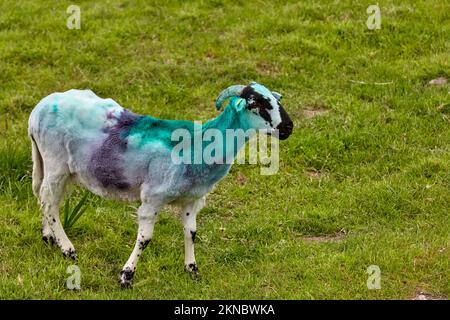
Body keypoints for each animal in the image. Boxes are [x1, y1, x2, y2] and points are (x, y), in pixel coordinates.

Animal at [29, 82, 296, 288]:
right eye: (256, 104)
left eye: (276, 100)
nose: (288, 127)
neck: (198, 144)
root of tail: (38, 109)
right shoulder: (152, 198)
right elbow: (145, 239)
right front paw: (126, 276)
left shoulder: (192, 200)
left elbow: (191, 233)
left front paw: (192, 269)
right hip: (55, 163)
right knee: (49, 201)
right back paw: (67, 249)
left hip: (62, 169)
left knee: (46, 199)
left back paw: (49, 237)